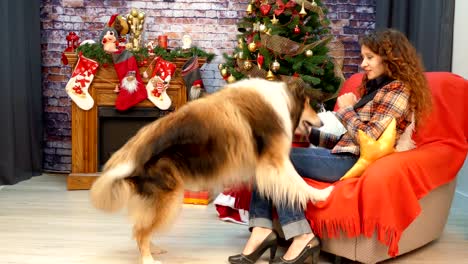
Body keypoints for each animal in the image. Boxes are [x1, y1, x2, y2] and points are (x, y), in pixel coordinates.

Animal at [89, 77, 332, 262]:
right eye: (309, 104)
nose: (322, 123)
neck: (284, 100)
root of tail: (131, 156)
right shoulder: (275, 160)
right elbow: (298, 181)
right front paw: (322, 194)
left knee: (140, 227)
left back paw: (154, 248)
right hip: (168, 198)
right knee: (141, 231)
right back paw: (148, 258)